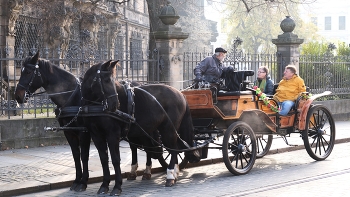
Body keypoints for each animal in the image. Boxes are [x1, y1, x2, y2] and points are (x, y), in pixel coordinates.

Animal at [14, 51, 91, 192]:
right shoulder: (69, 133)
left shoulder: (84, 132)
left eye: (28, 72)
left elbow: (84, 156)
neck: (73, 96)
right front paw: (77, 180)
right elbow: (76, 155)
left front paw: (83, 182)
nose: (17, 96)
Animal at [80, 60, 200, 196]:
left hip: (169, 129)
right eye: (105, 80)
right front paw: (104, 185)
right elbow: (104, 159)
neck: (94, 105)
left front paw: (117, 186)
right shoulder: (96, 134)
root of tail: (180, 93)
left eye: (112, 80)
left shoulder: (112, 134)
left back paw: (170, 175)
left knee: (173, 150)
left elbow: (115, 160)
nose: (115, 104)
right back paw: (174, 172)